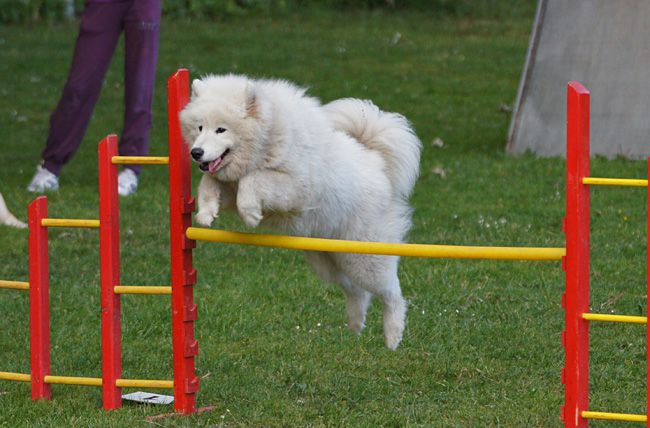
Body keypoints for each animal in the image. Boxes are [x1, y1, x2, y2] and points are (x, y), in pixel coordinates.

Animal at [180, 75, 420, 350]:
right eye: (199, 128)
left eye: (221, 129)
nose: (196, 152)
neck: (269, 135)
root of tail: (377, 163)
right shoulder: (228, 182)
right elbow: (209, 182)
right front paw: (206, 211)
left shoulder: (294, 187)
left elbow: (254, 179)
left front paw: (250, 212)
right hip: (329, 259)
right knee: (357, 291)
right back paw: (355, 326)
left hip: (365, 258)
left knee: (392, 293)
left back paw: (393, 335)